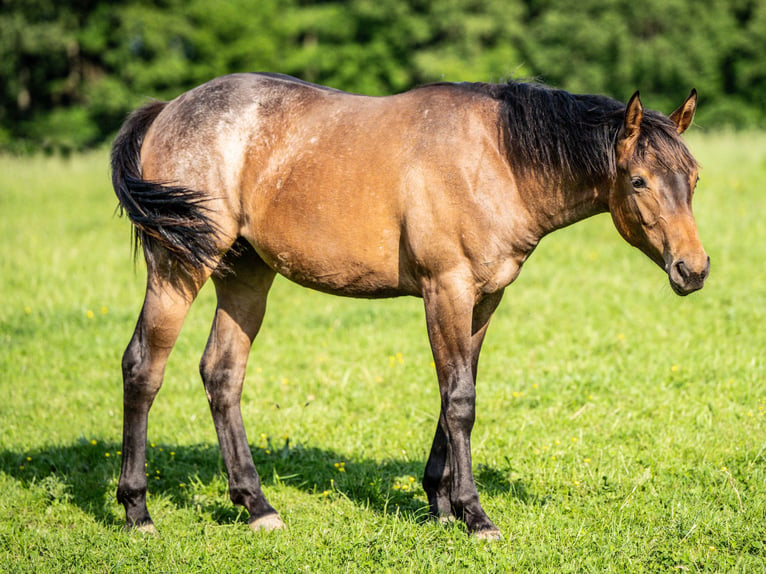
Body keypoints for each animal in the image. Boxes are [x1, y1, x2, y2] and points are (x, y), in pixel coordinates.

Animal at [111, 74, 712, 544]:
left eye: (694, 180)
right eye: (639, 181)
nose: (694, 269)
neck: (496, 160)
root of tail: (168, 109)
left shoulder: (483, 298)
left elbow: (456, 394)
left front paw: (441, 505)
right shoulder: (446, 289)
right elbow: (461, 400)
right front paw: (474, 515)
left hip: (246, 275)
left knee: (222, 374)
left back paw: (257, 506)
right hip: (178, 269)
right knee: (143, 368)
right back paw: (137, 509)